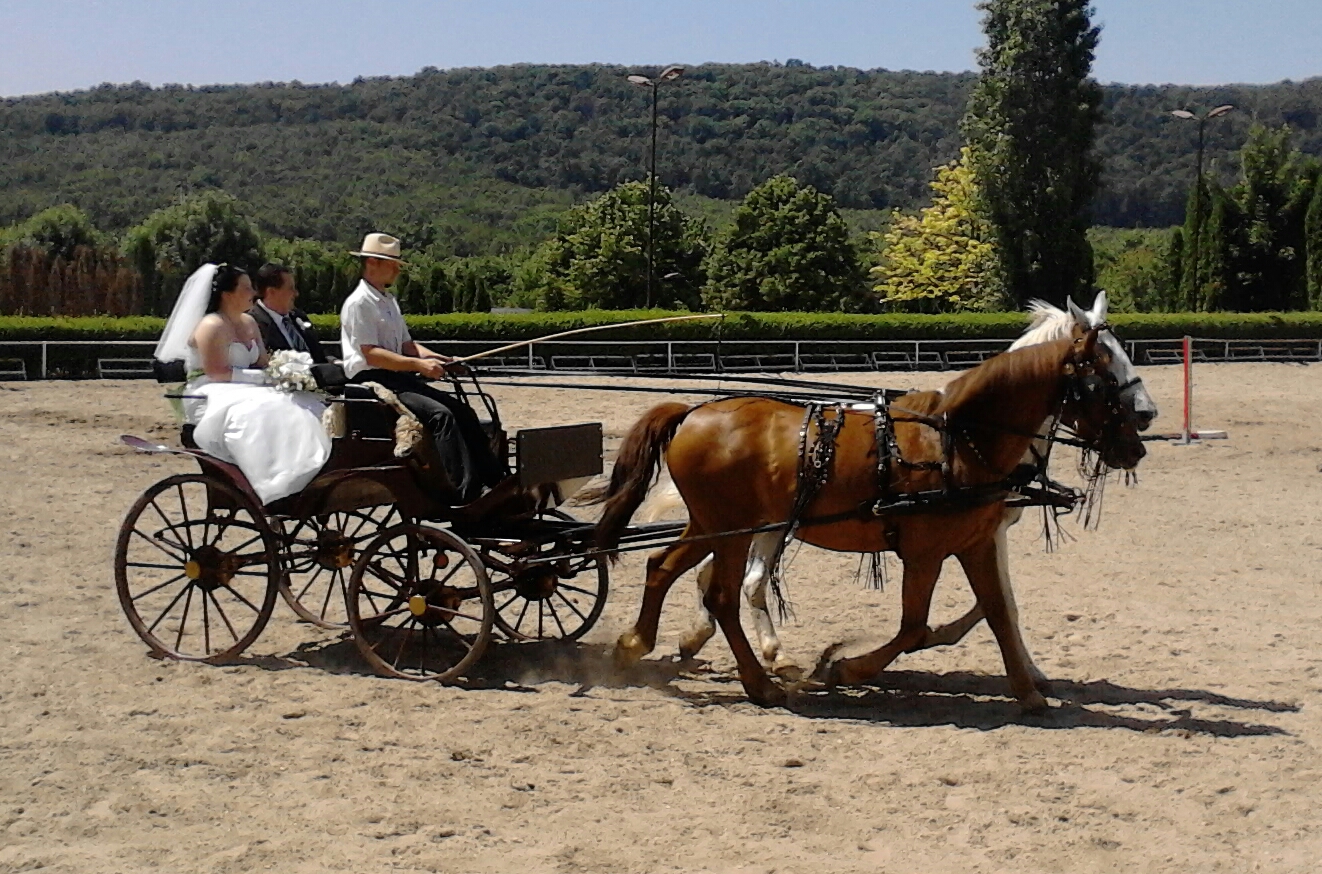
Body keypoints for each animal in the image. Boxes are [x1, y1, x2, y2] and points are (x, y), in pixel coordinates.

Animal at [594, 319, 1142, 708]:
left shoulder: (976, 543)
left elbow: (999, 611)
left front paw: (1028, 692)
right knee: (723, 594)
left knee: (663, 569)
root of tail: (692, 412)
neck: (956, 442)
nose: (1137, 444)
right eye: (1104, 379)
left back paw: (636, 644)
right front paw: (841, 669)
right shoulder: (924, 553)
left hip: (713, 524)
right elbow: (915, 629)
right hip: (733, 530)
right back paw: (759, 683)